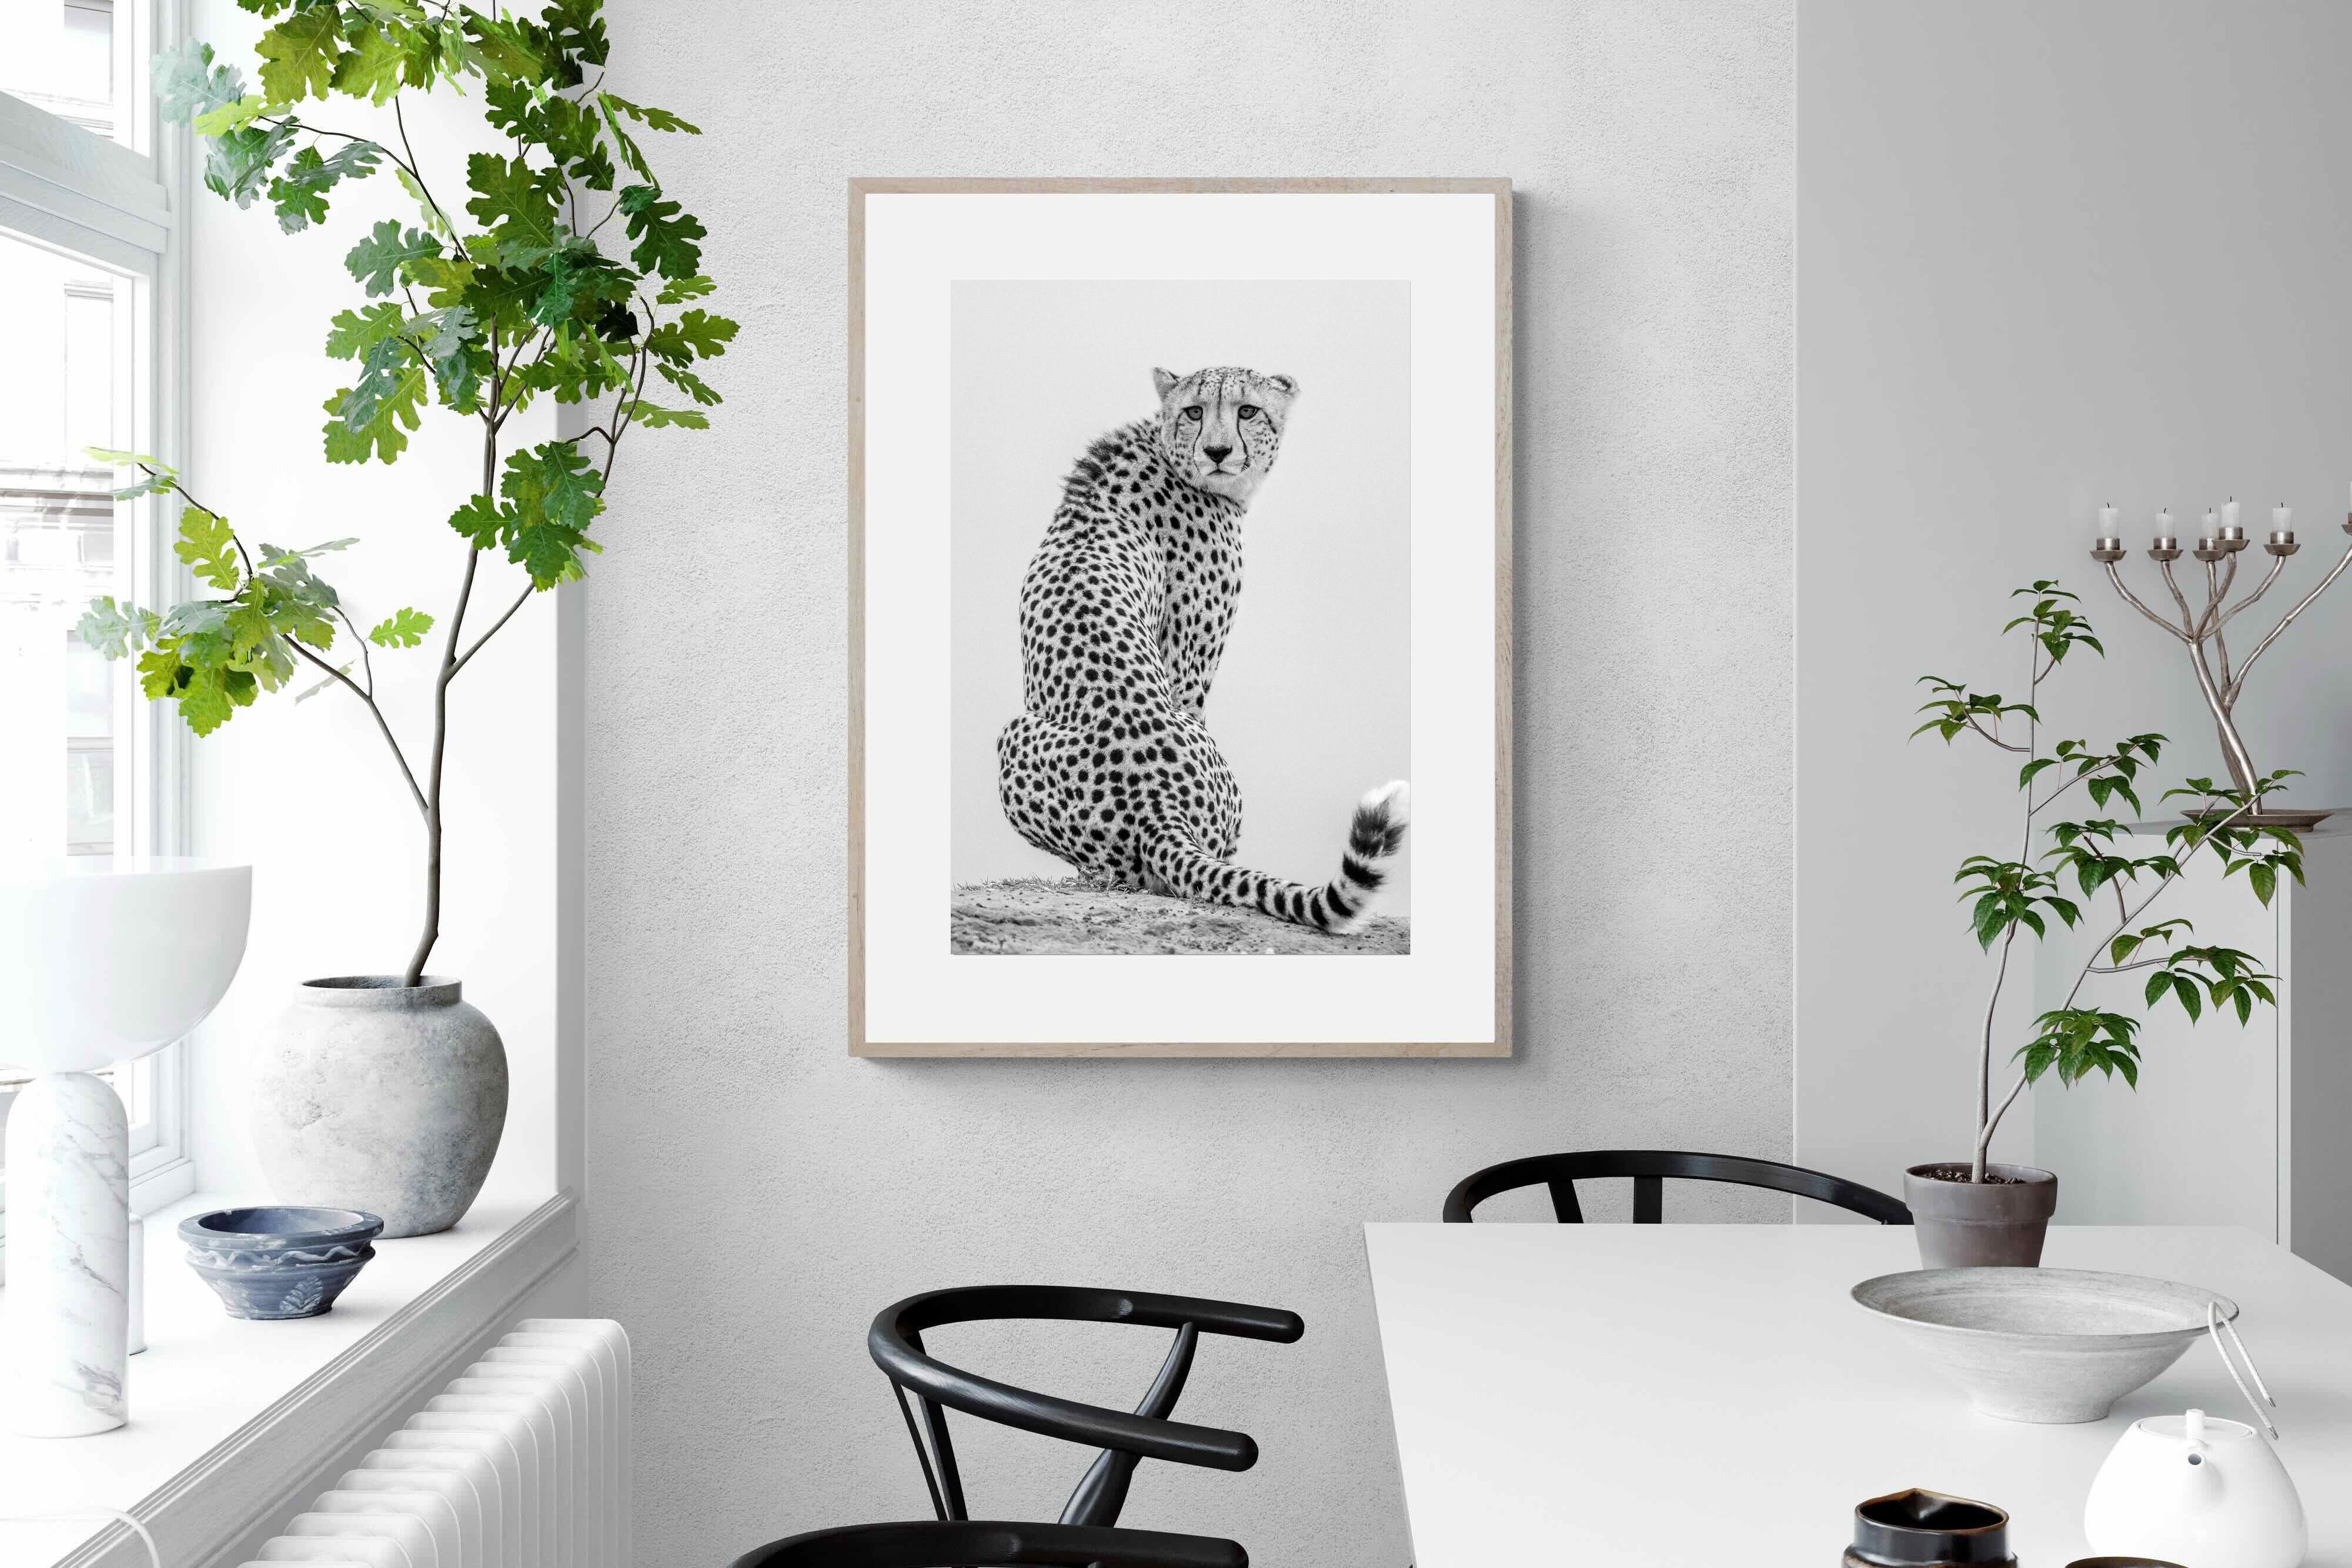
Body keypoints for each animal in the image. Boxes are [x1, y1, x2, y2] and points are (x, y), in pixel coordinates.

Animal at [993, 364, 1409, 935]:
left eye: (1247, 410)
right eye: (1195, 411)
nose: (1216, 450)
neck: (1168, 452)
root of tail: (1157, 807)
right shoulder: (1189, 668)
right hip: (1018, 735)